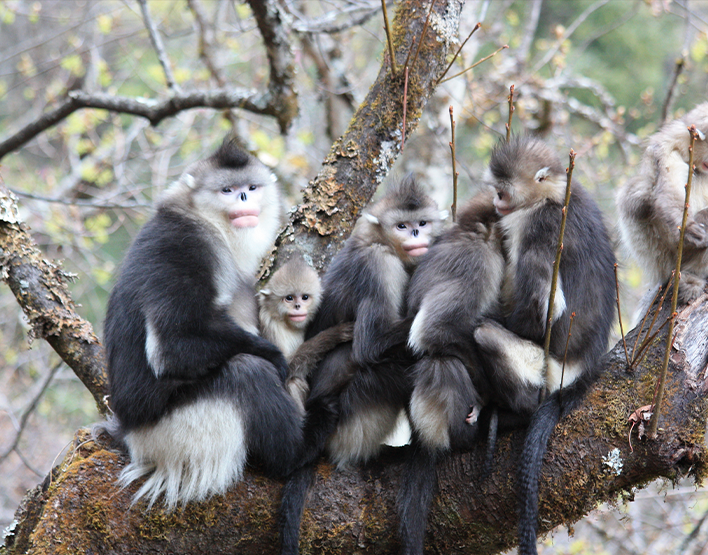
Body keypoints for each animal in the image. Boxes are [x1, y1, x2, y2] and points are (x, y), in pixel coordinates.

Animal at [102, 137, 302, 510]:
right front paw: (274, 356)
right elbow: (173, 347)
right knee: (246, 370)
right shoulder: (185, 247)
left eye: (252, 187)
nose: (244, 198)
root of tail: (131, 436)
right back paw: (298, 455)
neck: (204, 220)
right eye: (227, 190)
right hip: (177, 432)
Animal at [280, 176, 446, 555]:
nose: (417, 234)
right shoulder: (378, 265)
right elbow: (369, 345)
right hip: (353, 412)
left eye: (422, 222)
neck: (381, 243)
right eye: (402, 226)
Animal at [402, 138, 616, 555]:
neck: (555, 195)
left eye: (504, 190)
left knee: (486, 334)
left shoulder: (537, 224)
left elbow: (539, 313)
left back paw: (515, 413)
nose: (498, 201)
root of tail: (583, 366)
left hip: (545, 371)